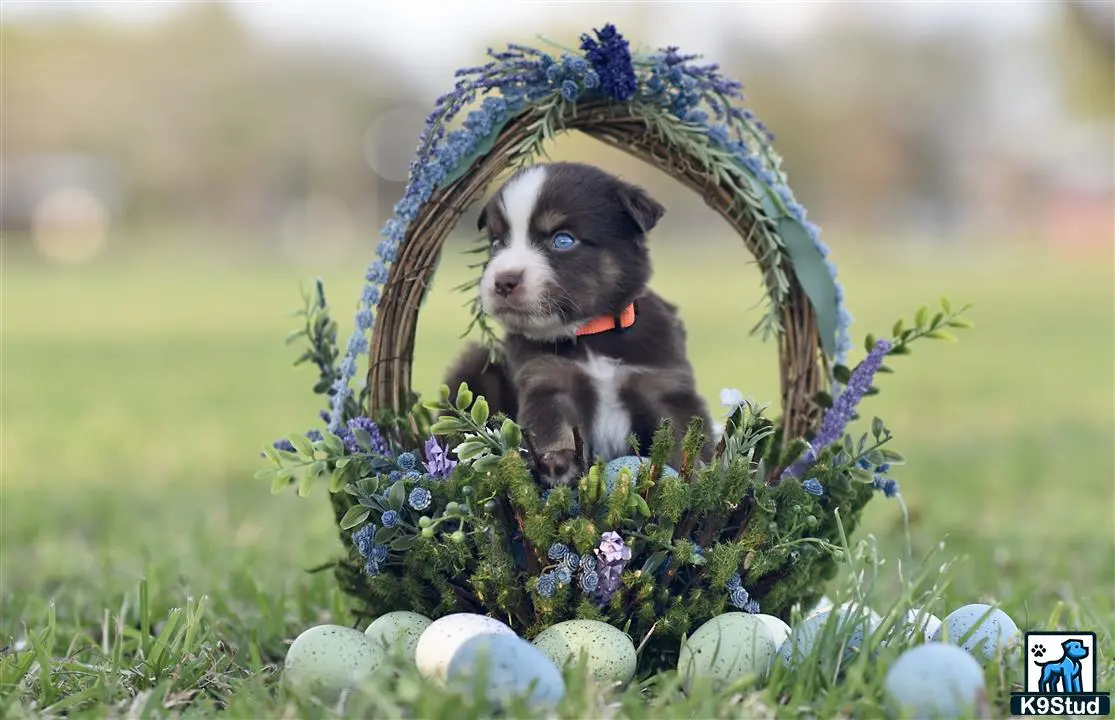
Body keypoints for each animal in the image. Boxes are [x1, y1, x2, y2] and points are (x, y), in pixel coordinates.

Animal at [443, 163, 713, 488]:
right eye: (496, 244)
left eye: (563, 240)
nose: (503, 281)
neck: (590, 334)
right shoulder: (546, 381)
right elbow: (552, 427)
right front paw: (557, 463)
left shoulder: (667, 386)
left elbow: (687, 441)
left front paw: (697, 480)